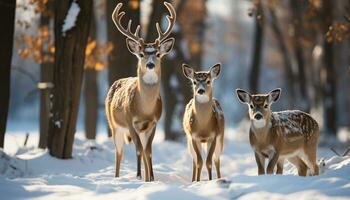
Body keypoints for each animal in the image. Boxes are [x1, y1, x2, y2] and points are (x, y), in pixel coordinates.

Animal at [104, 1, 175, 183]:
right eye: (142, 54)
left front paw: (151, 178)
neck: (144, 109)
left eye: (158, 53)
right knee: (119, 152)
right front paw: (138, 176)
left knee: (142, 150)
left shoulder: (154, 122)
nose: (150, 64)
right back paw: (117, 177)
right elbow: (137, 149)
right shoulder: (130, 120)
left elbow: (148, 151)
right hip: (114, 125)